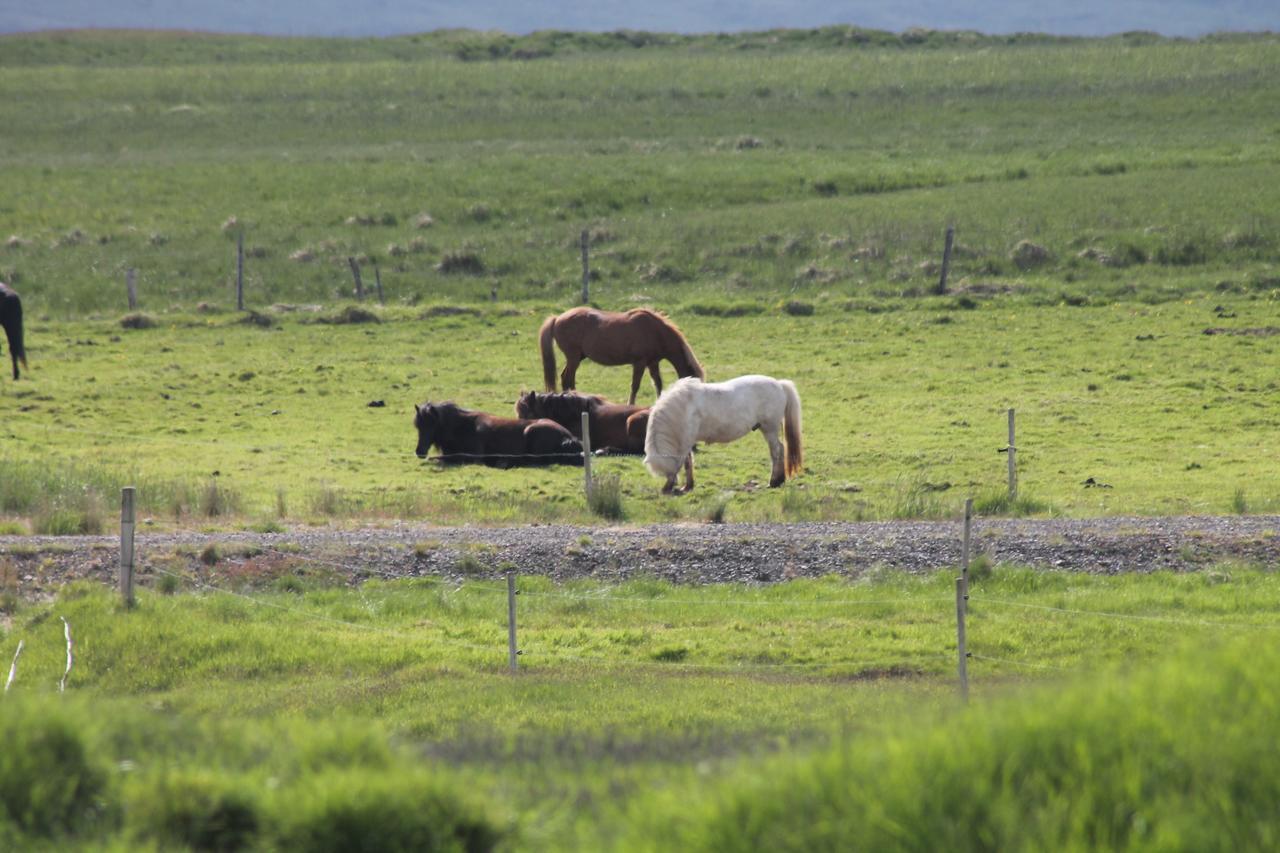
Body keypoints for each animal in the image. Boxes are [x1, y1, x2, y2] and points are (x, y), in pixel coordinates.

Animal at [414, 399, 586, 466]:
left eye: (432, 425)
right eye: (418, 426)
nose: (419, 451)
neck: (463, 427)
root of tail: (569, 437)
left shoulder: (474, 458)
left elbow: (438, 459)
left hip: (532, 431)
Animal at [537, 307, 706, 404]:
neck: (655, 331)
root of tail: (557, 318)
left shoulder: (653, 363)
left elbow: (658, 383)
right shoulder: (639, 363)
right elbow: (635, 386)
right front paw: (630, 405)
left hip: (577, 358)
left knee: (567, 378)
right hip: (573, 358)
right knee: (567, 378)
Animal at [650, 371, 798, 491]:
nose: (669, 486)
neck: (683, 407)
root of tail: (779, 384)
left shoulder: (685, 442)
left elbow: (681, 462)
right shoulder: (687, 442)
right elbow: (687, 462)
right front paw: (687, 486)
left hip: (769, 429)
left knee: (776, 451)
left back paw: (773, 482)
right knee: (780, 449)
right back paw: (779, 481)